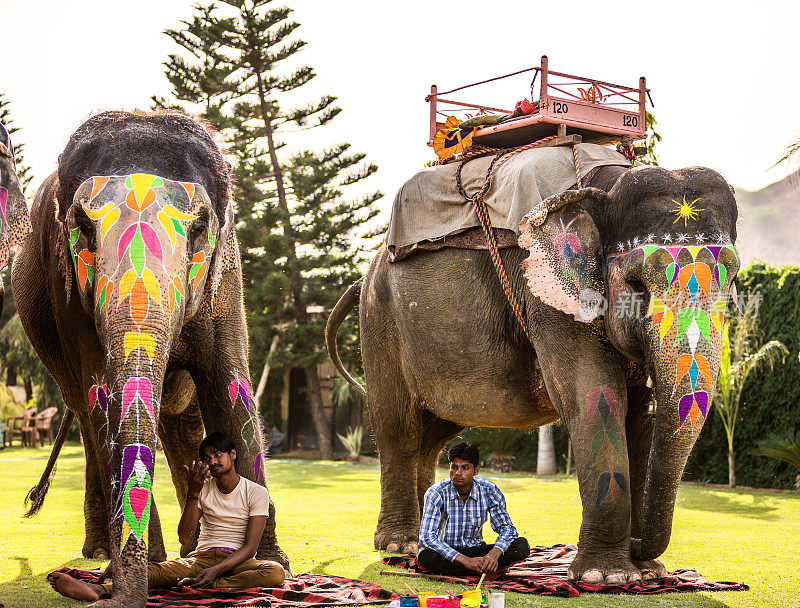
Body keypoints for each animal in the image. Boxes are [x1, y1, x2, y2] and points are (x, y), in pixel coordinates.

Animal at [13, 111, 288, 604]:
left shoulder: (226, 277)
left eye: (199, 228)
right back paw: (108, 555)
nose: (113, 593)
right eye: (82, 226)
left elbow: (228, 384)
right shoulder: (70, 299)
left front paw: (277, 563)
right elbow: (102, 393)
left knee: (183, 423)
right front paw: (138, 567)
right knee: (86, 413)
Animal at [328, 162, 740, 584]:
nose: (640, 546)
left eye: (733, 279)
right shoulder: (548, 300)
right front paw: (606, 576)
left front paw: (647, 572)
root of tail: (364, 276)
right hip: (380, 321)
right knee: (398, 425)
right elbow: (593, 395)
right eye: (636, 283)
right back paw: (401, 546)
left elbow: (639, 415)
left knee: (431, 435)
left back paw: (425, 538)